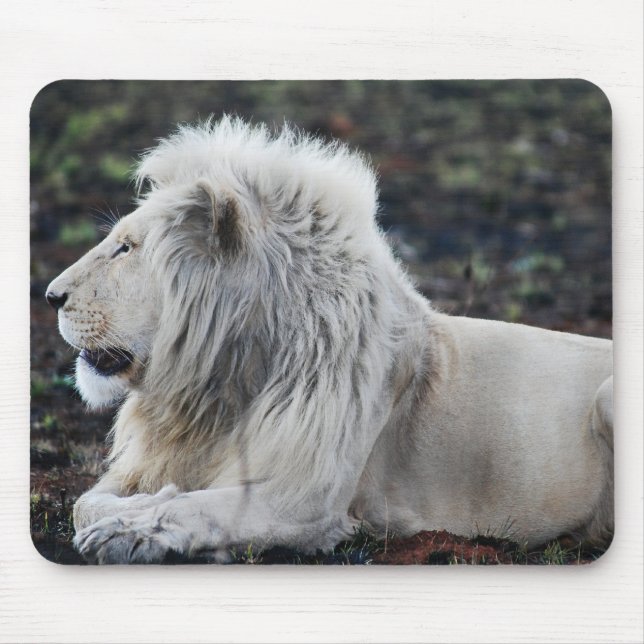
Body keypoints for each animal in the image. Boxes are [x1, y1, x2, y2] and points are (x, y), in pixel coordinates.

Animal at [45, 117, 613, 564]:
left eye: (125, 248)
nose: (50, 296)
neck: (221, 383)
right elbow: (87, 503)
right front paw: (134, 508)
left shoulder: (308, 501)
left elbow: (201, 506)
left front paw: (130, 529)